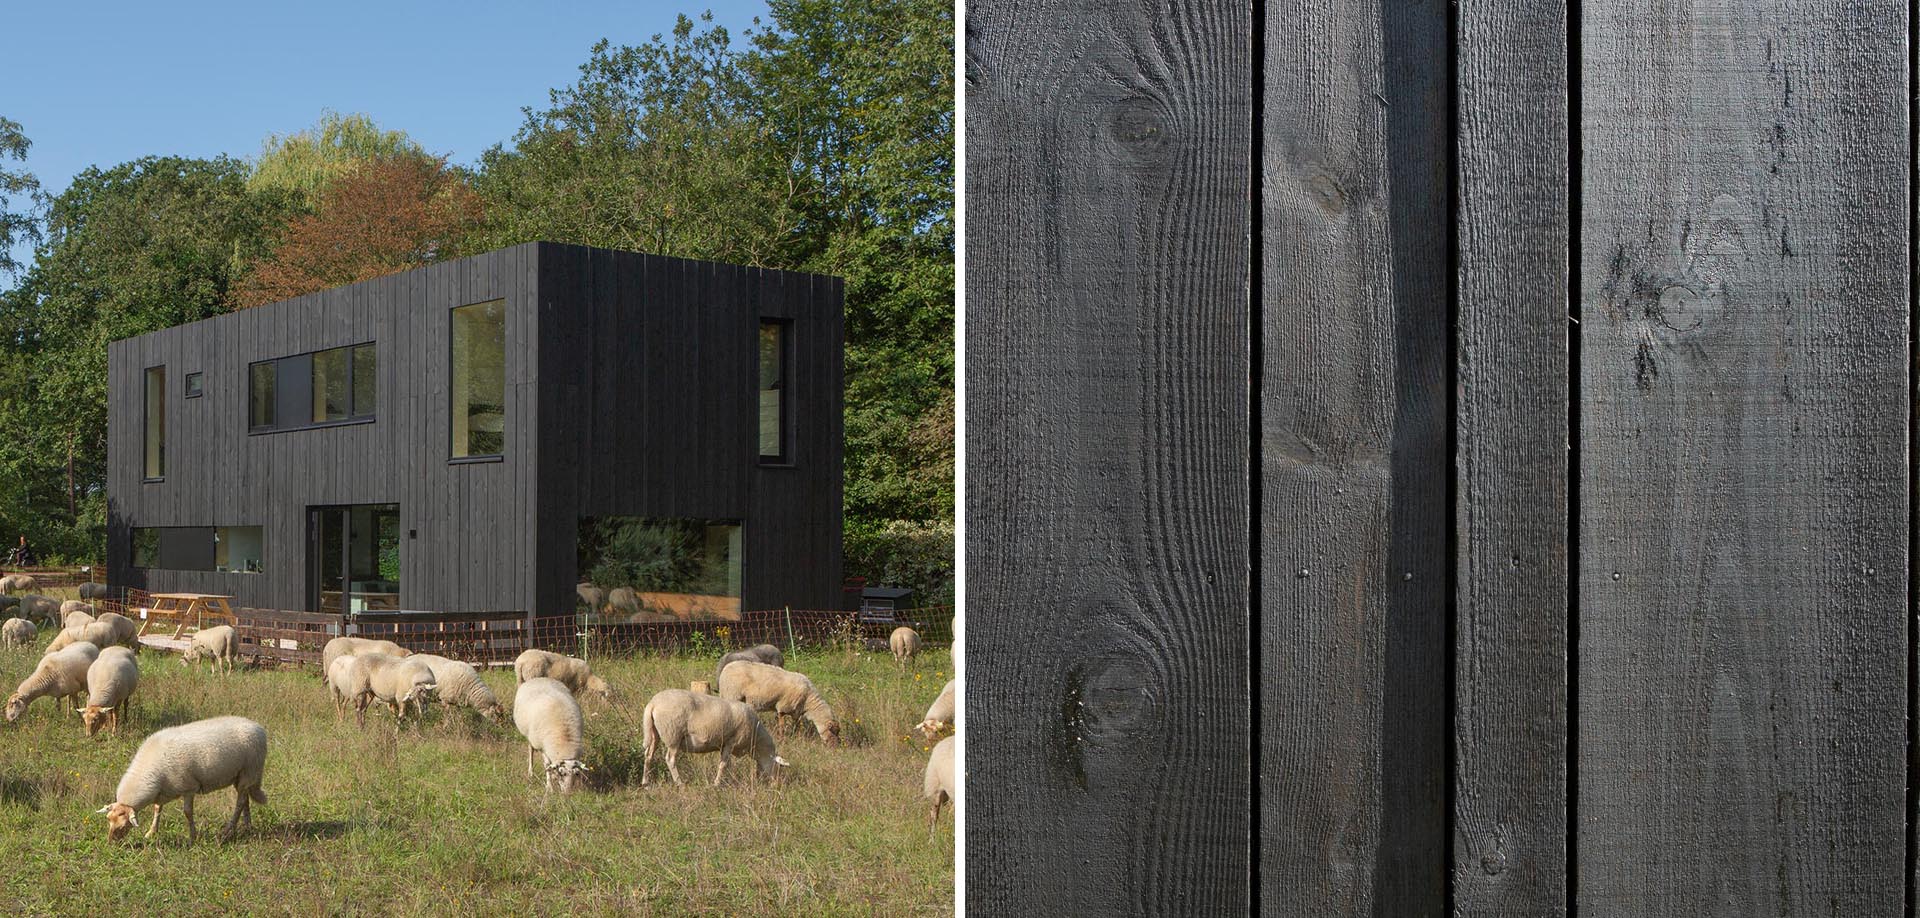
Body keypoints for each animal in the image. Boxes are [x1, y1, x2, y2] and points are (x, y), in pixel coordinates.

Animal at [96, 718, 270, 845]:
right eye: (108, 819)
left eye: (124, 825)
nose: (110, 843)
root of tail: (258, 727)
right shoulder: (164, 791)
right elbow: (157, 809)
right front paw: (151, 832)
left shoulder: (189, 788)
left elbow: (187, 812)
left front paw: (193, 837)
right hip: (241, 776)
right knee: (245, 799)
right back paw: (247, 826)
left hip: (250, 771)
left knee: (240, 803)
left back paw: (228, 830)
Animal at [637, 687, 787, 787]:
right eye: (777, 767)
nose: (776, 784)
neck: (756, 740)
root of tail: (653, 704)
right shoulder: (731, 742)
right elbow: (724, 764)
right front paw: (717, 784)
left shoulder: (724, 744)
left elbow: (727, 764)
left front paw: (729, 781)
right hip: (673, 735)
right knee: (670, 759)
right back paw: (680, 783)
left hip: (655, 733)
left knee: (648, 755)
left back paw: (645, 783)